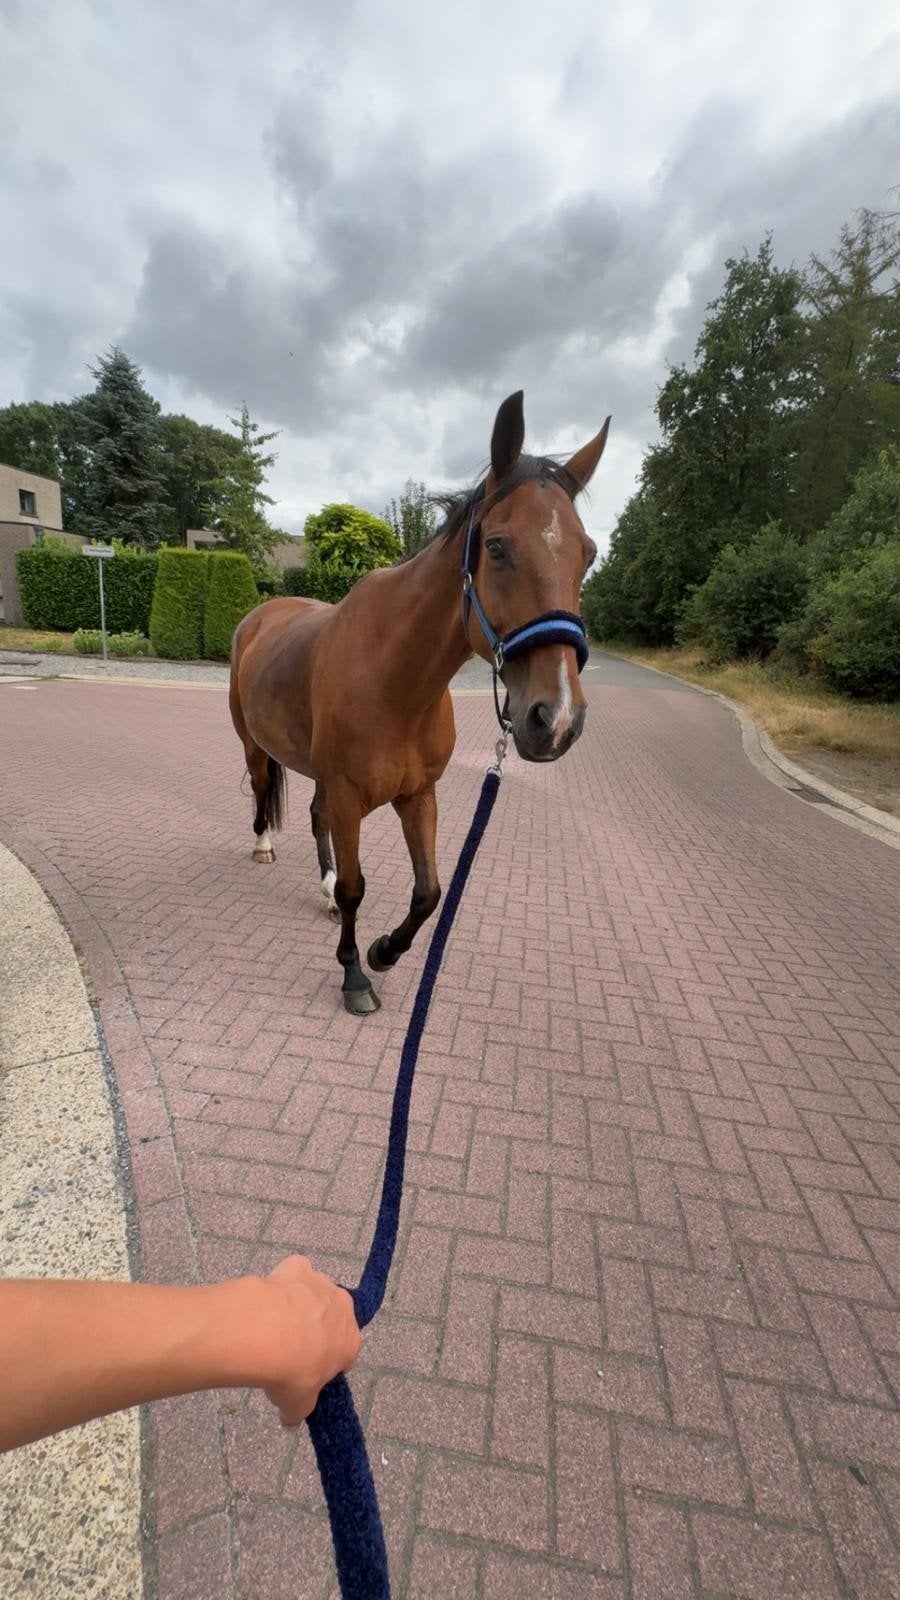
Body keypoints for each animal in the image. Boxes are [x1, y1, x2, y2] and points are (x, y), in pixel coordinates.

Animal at [229, 390, 610, 1014]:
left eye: (590, 554)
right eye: (497, 547)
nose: (556, 720)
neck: (395, 681)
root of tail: (262, 613)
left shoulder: (418, 796)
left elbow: (430, 891)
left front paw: (384, 951)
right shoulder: (350, 798)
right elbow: (359, 888)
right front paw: (354, 974)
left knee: (314, 818)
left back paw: (323, 892)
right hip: (254, 745)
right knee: (264, 792)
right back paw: (264, 847)